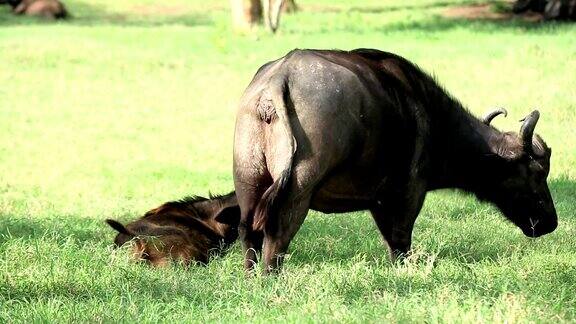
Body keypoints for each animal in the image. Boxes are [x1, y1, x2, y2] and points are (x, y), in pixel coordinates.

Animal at [233, 48, 560, 274]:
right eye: (536, 172)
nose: (550, 222)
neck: (432, 119)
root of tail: (279, 80)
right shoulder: (408, 193)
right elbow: (400, 241)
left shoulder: (378, 200)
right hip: (297, 191)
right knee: (277, 235)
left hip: (247, 182)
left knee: (248, 233)